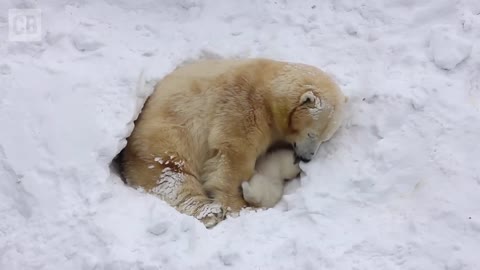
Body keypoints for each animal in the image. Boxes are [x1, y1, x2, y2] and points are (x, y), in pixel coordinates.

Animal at [119, 57, 344, 228]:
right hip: (167, 134)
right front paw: (236, 206)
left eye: (325, 139)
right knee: (171, 175)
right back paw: (209, 211)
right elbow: (233, 156)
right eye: (311, 134)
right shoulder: (241, 104)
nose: (307, 158)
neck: (268, 91)